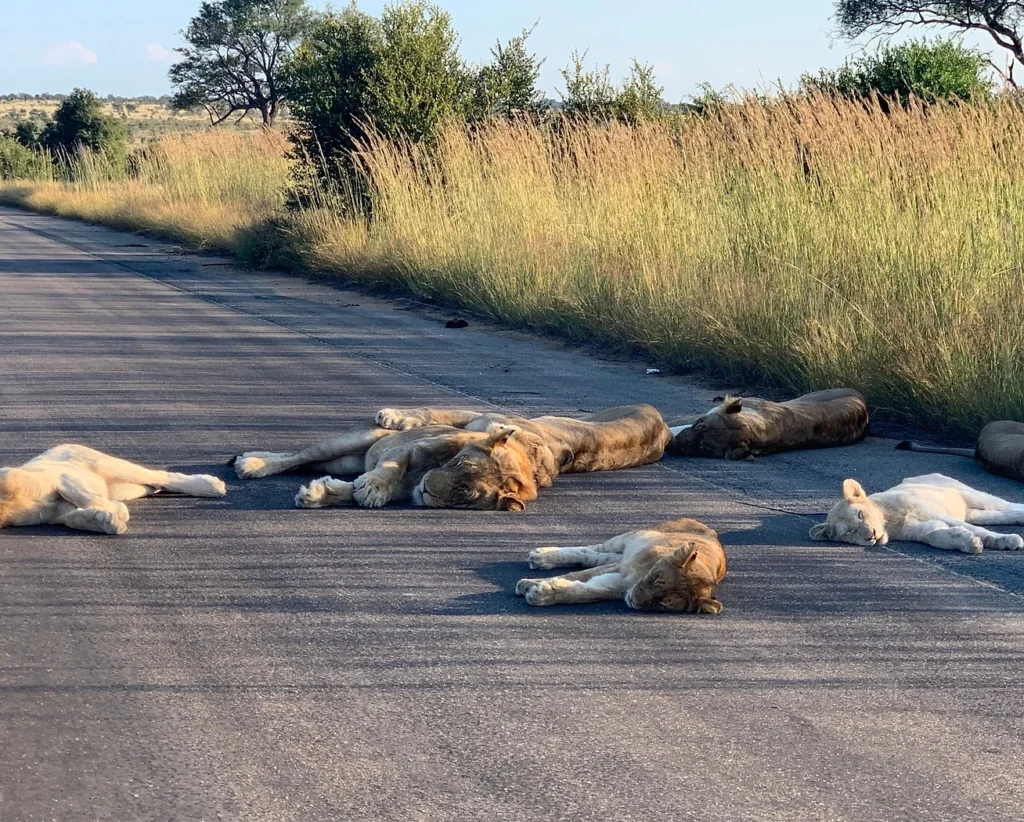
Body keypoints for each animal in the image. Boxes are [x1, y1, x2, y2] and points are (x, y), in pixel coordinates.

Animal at [0, 444, 227, 535]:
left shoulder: (60, 476)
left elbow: (86, 496)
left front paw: (115, 513)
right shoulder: (54, 514)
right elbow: (74, 519)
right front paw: (105, 520)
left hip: (110, 466)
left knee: (162, 476)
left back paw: (211, 486)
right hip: (129, 488)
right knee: (153, 486)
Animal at [515, 518, 728, 612]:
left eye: (662, 604)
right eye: (655, 579)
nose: (634, 600)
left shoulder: (618, 584)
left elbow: (586, 592)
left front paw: (541, 592)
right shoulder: (622, 569)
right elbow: (575, 576)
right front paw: (528, 584)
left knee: (593, 555)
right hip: (629, 538)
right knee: (588, 550)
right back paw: (541, 557)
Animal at [809, 473, 1024, 554]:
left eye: (860, 514)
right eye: (848, 533)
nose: (871, 536)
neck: (890, 522)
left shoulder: (933, 513)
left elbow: (980, 530)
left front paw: (1008, 541)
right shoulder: (921, 530)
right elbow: (935, 536)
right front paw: (968, 542)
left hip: (970, 494)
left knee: (1005, 504)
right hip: (972, 511)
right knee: (997, 516)